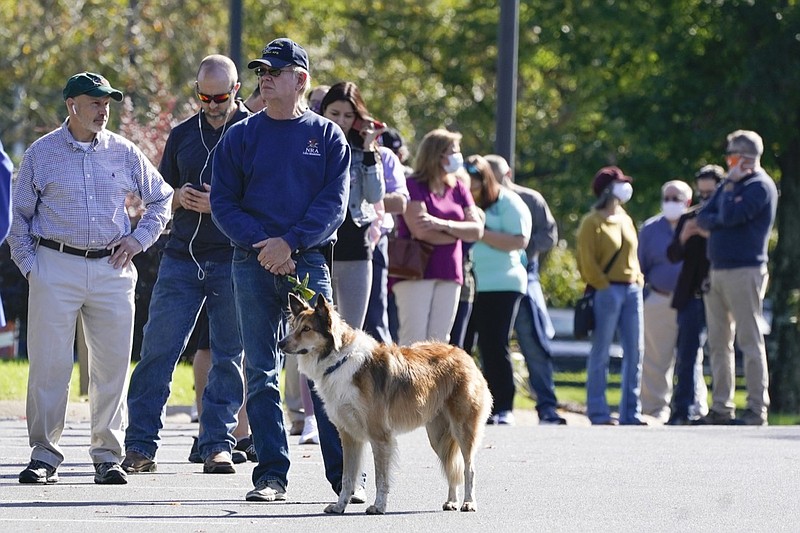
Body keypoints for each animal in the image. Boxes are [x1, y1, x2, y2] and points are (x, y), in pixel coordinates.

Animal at [282, 294, 494, 512]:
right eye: (293, 327)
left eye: (307, 329)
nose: (280, 344)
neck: (339, 360)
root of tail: (465, 355)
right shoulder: (349, 435)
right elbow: (347, 477)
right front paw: (340, 506)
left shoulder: (380, 436)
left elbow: (381, 478)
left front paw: (378, 506)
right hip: (438, 436)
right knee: (451, 467)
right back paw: (451, 501)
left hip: (462, 430)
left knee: (469, 468)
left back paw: (468, 502)